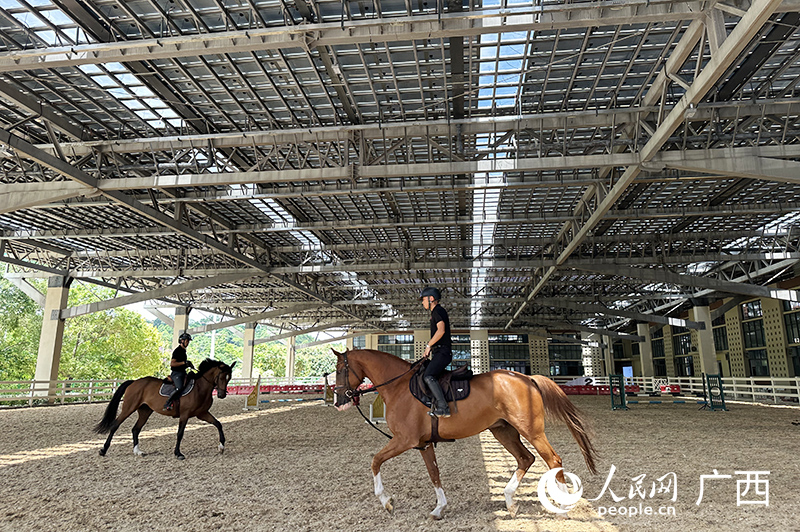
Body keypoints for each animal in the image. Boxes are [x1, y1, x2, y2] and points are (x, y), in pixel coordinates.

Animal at [95, 360, 236, 460]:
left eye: (229, 378)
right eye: (221, 377)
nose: (222, 395)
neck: (200, 388)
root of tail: (134, 382)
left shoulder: (202, 414)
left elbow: (218, 424)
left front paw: (221, 447)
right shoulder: (185, 415)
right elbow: (180, 433)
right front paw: (178, 453)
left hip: (145, 411)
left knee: (135, 429)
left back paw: (138, 451)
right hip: (129, 408)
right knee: (115, 425)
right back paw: (103, 450)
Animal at [332, 350, 592, 520]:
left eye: (340, 370)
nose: (338, 400)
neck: (400, 387)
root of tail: (526, 377)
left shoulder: (405, 440)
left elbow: (375, 461)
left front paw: (386, 502)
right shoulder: (423, 444)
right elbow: (434, 474)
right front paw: (439, 508)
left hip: (531, 431)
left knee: (553, 460)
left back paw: (562, 506)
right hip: (503, 431)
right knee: (525, 459)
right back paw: (510, 502)